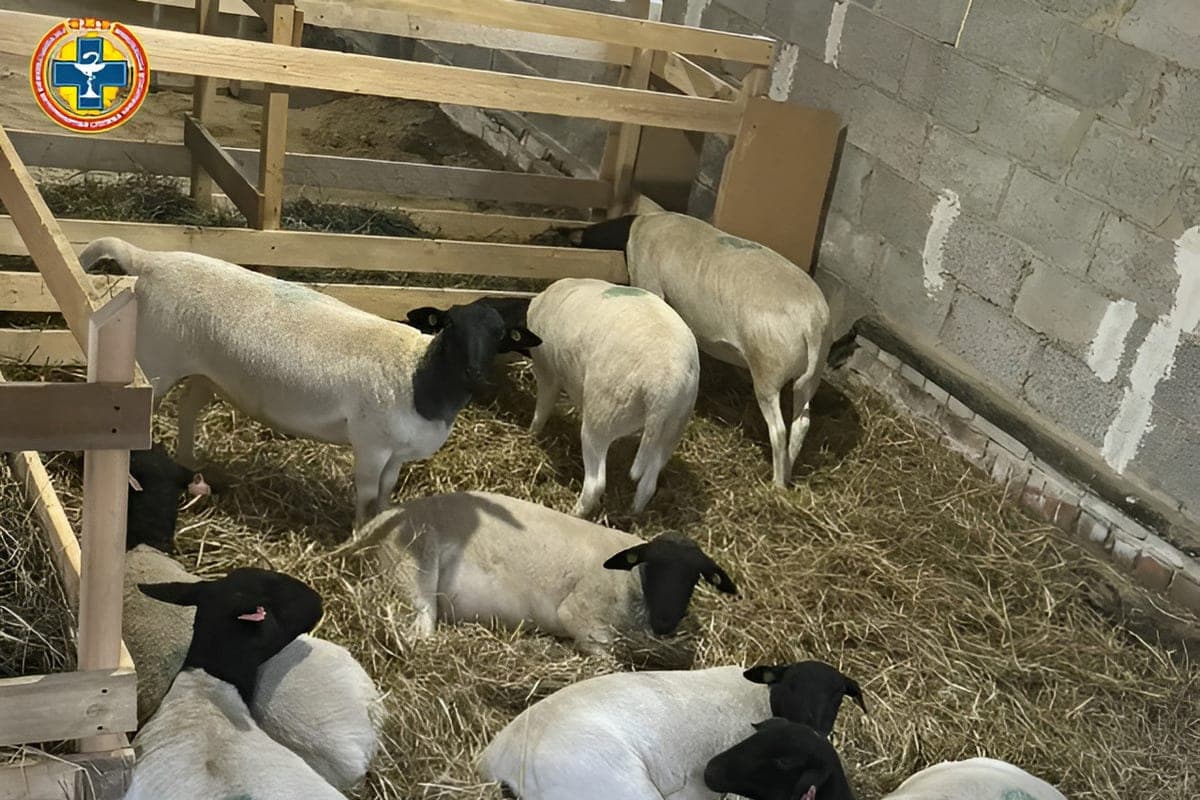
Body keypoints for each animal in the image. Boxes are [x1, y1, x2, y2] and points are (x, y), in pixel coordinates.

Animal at [79, 236, 541, 527]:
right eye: (450, 329)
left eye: (500, 337)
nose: (477, 376)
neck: (417, 375)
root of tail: (151, 261)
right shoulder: (371, 444)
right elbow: (366, 491)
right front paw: (358, 533)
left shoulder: (397, 452)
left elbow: (387, 491)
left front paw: (382, 523)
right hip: (154, 361)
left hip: (204, 370)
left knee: (188, 409)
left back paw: (191, 461)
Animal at [349, 490, 737, 658]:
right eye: (653, 566)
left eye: (695, 576)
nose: (667, 622)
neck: (632, 584)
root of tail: (385, 518)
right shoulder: (583, 617)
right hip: (413, 570)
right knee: (417, 632)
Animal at [523, 277, 700, 515]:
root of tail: (665, 385)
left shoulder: (547, 370)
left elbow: (542, 407)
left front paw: (531, 433)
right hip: (672, 428)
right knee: (648, 483)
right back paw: (633, 513)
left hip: (604, 413)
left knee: (595, 484)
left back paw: (575, 512)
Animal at [570, 212, 833, 488]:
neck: (633, 230)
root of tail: (812, 322)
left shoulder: (649, 281)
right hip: (810, 376)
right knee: (802, 423)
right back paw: (789, 469)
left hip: (768, 370)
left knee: (779, 430)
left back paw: (778, 483)